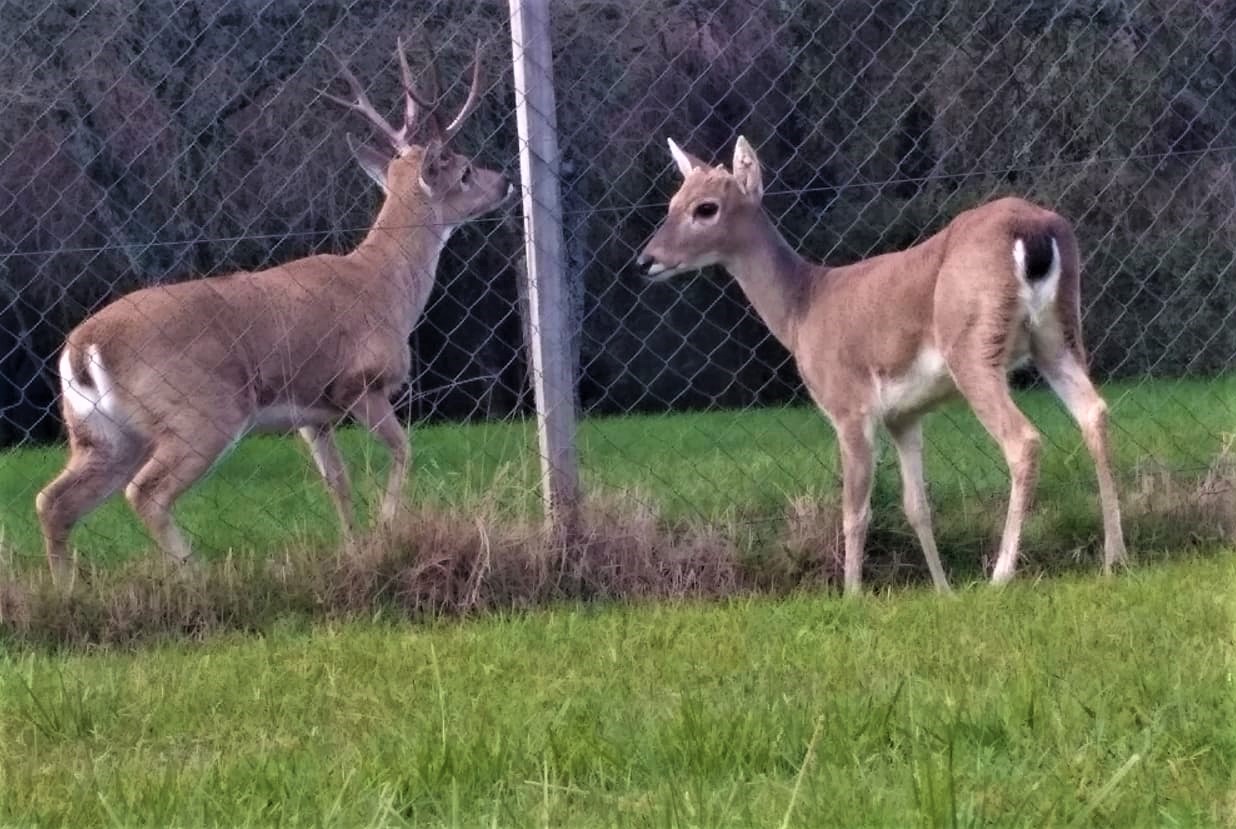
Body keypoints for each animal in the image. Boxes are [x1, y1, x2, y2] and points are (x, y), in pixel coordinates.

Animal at [34, 39, 512, 580]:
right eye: (465, 170)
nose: (506, 181)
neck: (385, 285)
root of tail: (83, 346)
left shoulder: (313, 413)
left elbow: (338, 482)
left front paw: (355, 547)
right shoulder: (360, 383)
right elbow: (402, 450)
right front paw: (389, 529)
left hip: (102, 433)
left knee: (54, 500)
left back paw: (65, 587)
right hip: (201, 410)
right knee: (147, 493)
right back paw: (194, 572)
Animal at [639, 136, 1128, 594]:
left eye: (706, 208)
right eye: (671, 203)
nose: (646, 260)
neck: (801, 311)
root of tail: (1035, 227)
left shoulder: (849, 406)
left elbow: (855, 511)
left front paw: (852, 596)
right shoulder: (904, 416)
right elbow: (917, 507)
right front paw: (944, 592)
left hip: (973, 345)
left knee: (1023, 439)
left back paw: (1002, 574)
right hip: (1058, 335)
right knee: (1094, 412)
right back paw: (1114, 559)